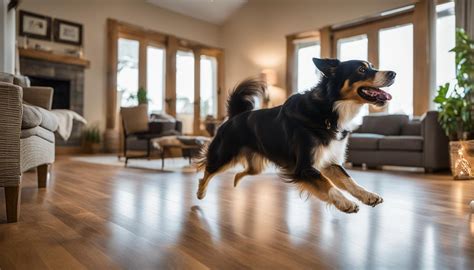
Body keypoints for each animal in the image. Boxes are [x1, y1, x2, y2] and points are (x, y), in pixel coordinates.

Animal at [194, 58, 394, 213]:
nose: (393, 73)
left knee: (242, 172)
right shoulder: (304, 168)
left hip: (257, 166)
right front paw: (345, 202)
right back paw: (200, 192)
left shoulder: (328, 162)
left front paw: (368, 195)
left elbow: (349, 179)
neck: (329, 110)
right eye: (362, 69)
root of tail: (235, 116)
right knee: (207, 171)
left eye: (372, 66)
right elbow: (327, 183)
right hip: (224, 156)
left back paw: (236, 180)